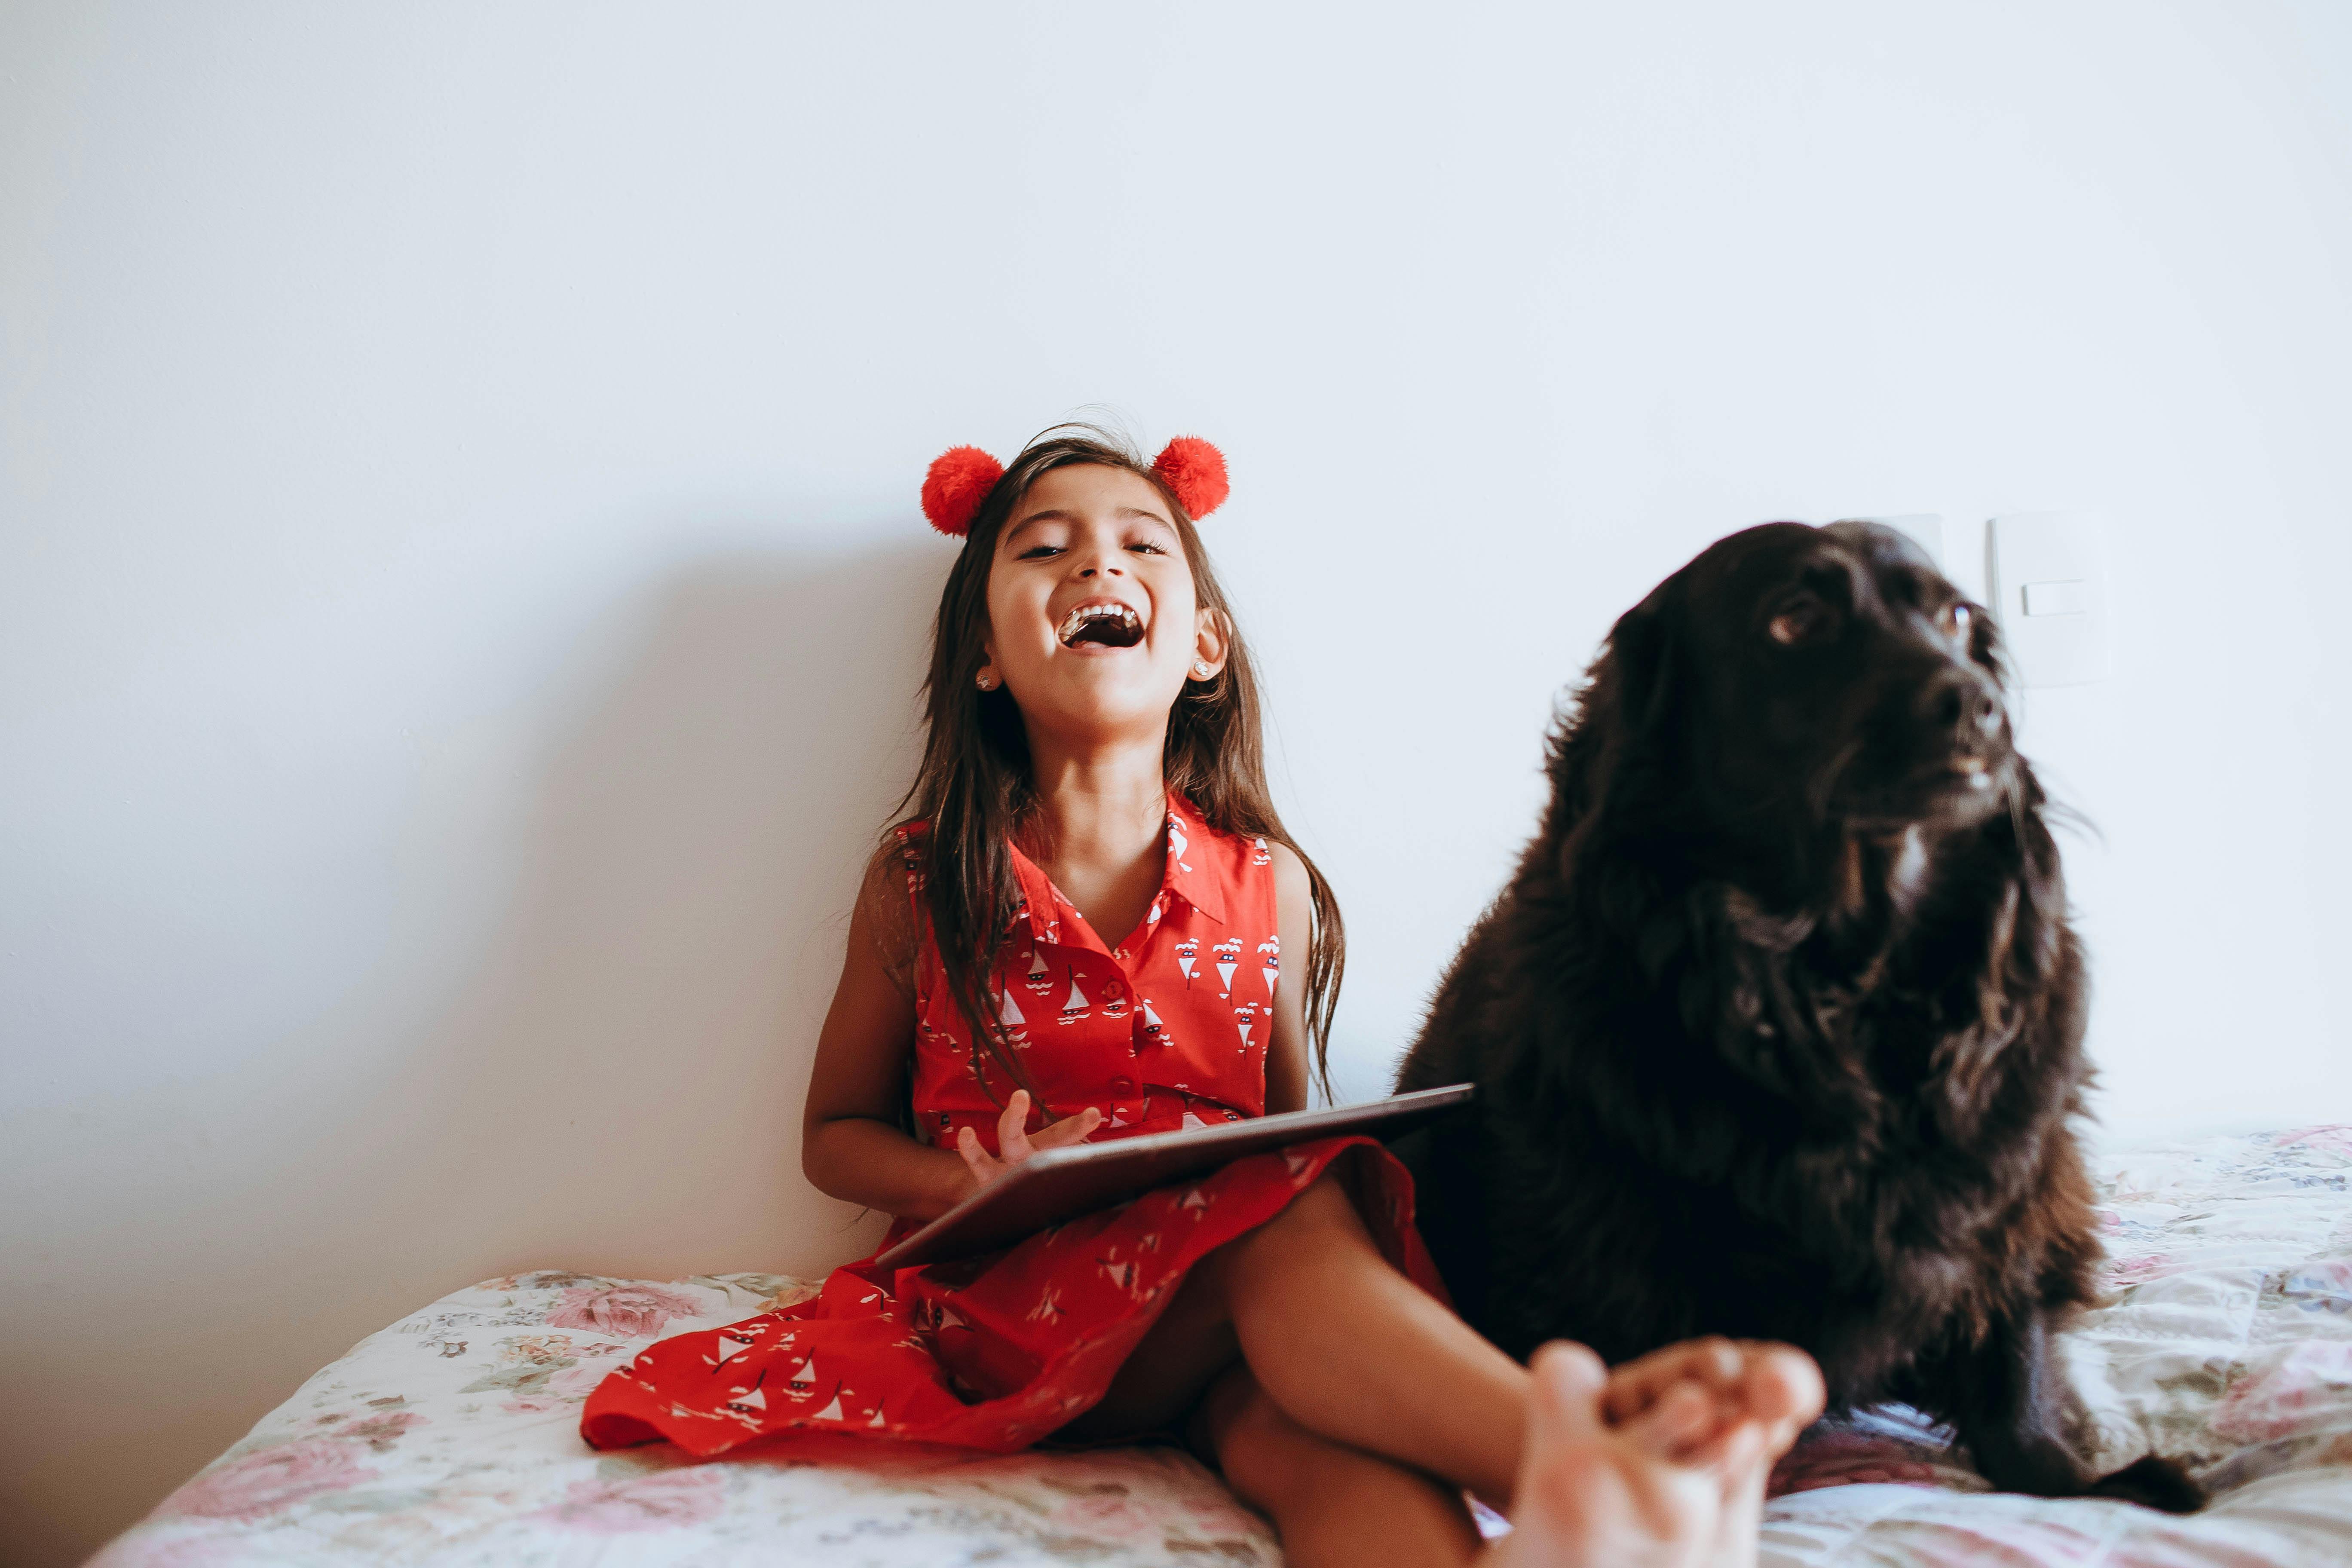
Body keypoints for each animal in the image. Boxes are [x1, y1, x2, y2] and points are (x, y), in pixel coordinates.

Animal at [1392, 524, 2201, 1504]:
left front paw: (2074, 1478)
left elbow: (2015, 1363)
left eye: (1954, 617)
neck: (1843, 979)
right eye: (1796, 619)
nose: (1978, 709)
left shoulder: (2008, 1191)